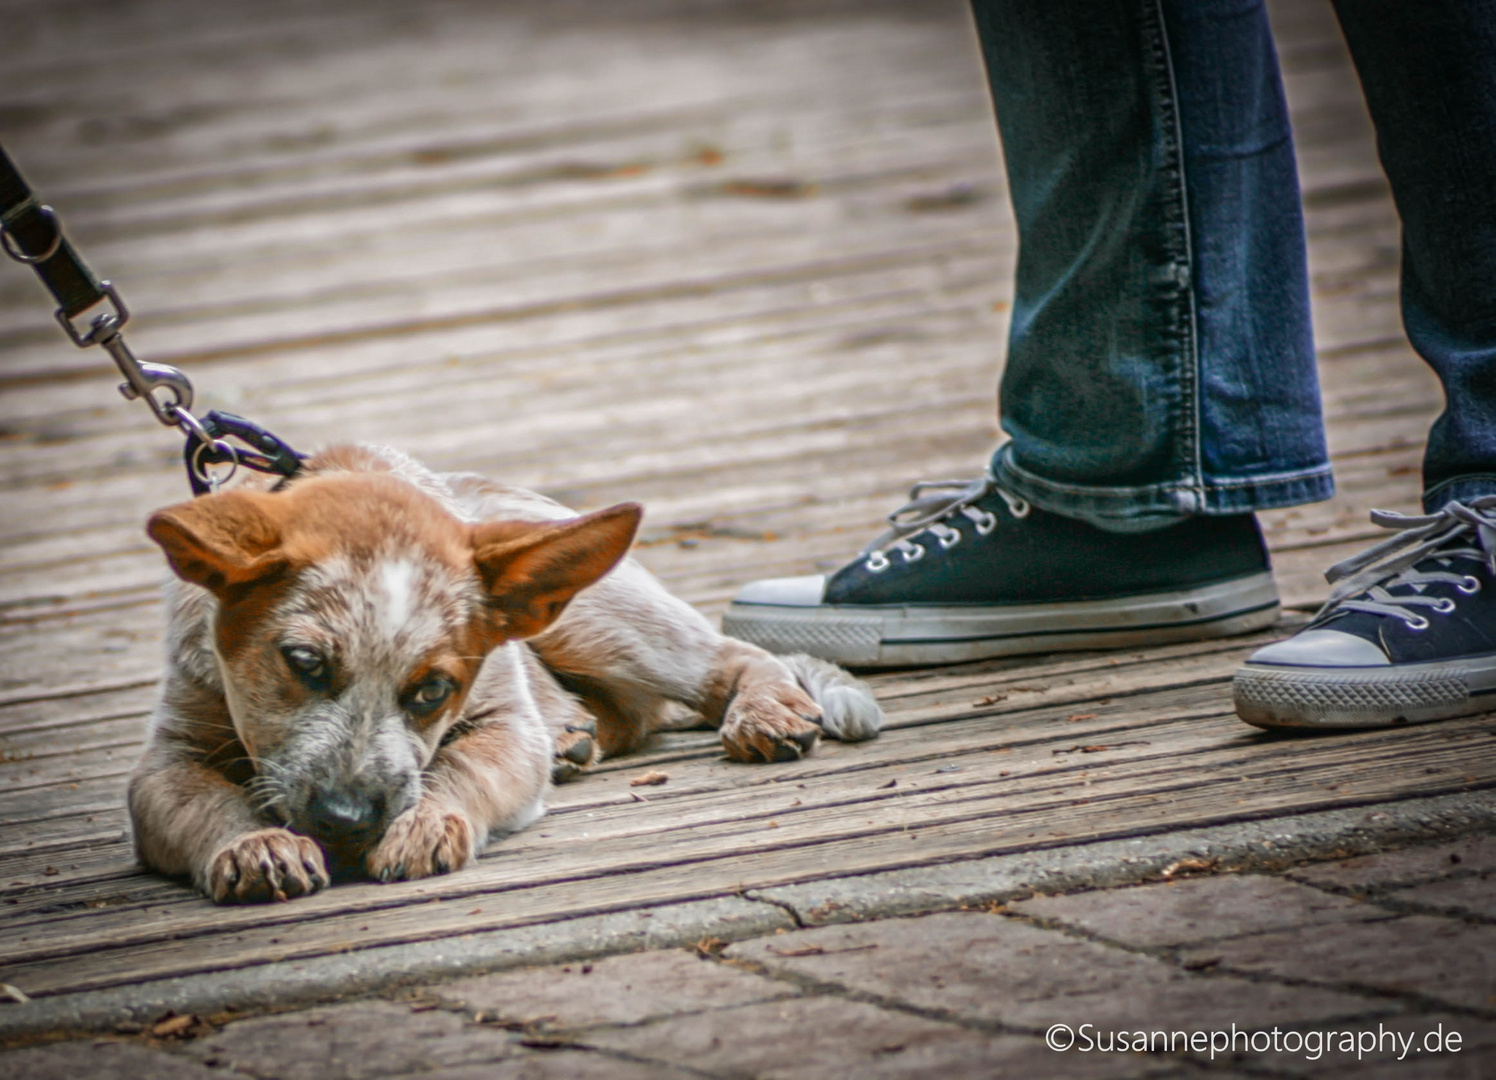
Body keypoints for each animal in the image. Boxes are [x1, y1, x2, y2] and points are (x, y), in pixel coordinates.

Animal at [128, 442, 879, 903]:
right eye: (305, 663)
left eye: (433, 690)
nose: (345, 819)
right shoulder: (168, 758)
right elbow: (204, 801)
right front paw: (254, 846)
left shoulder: (504, 729)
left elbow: (461, 768)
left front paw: (428, 823)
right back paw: (573, 731)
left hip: (599, 622)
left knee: (733, 656)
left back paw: (761, 710)